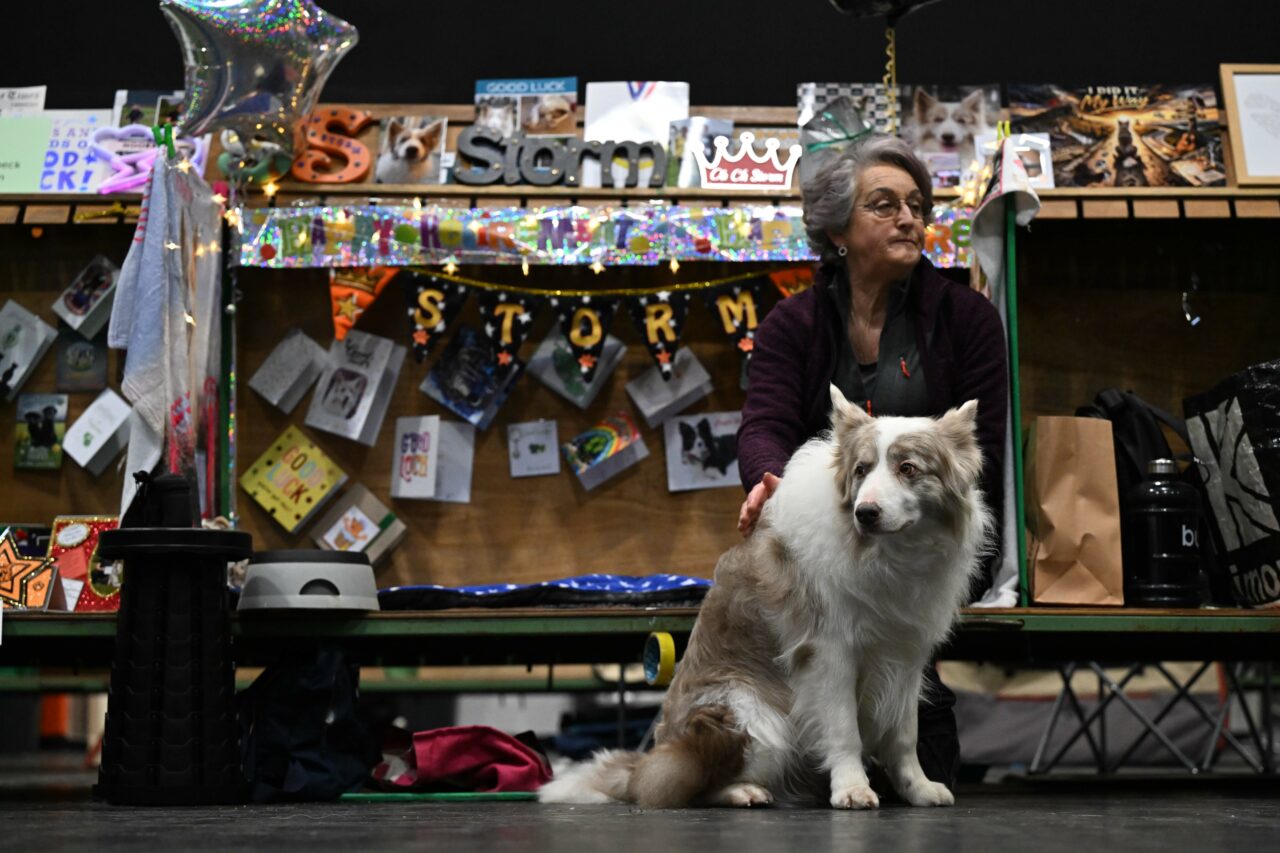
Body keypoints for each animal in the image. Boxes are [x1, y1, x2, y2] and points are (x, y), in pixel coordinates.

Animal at [540, 387, 989, 809]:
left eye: (908, 468)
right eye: (861, 470)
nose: (866, 513)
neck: (887, 554)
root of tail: (648, 760)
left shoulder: (904, 654)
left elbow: (903, 735)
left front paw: (919, 789)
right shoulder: (829, 652)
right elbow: (845, 729)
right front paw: (852, 789)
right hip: (753, 716)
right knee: (683, 785)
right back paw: (743, 792)